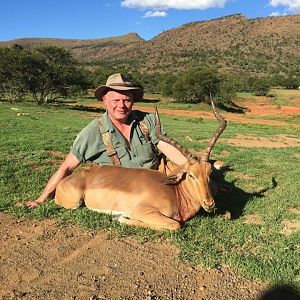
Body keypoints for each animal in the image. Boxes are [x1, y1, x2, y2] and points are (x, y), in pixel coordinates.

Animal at [55, 98, 226, 230]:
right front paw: (121, 218)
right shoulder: (144, 212)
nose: (209, 203)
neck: (175, 192)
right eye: (191, 175)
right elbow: (176, 225)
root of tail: (62, 183)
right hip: (75, 202)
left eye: (209, 173)